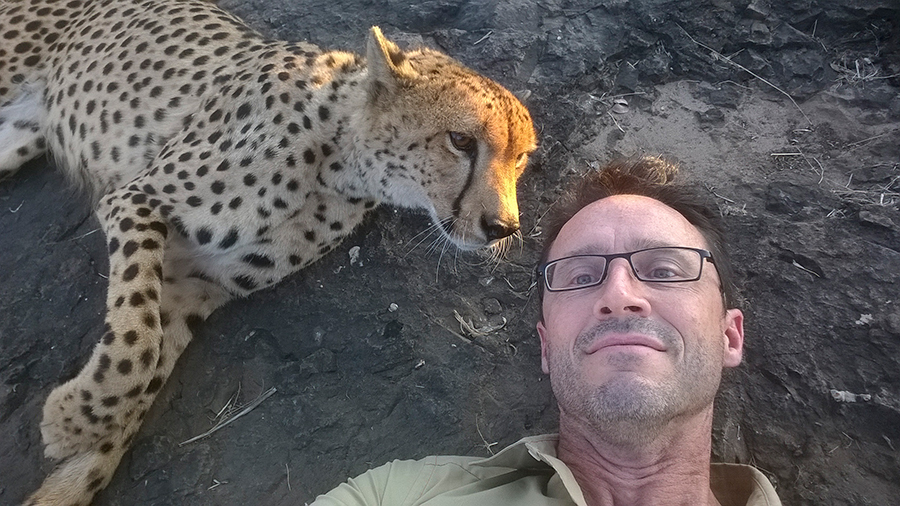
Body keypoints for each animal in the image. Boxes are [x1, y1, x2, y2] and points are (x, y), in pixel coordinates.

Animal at [0, 0, 537, 503]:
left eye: (521, 157)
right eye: (460, 140)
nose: (503, 227)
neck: (338, 160)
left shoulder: (192, 284)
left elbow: (142, 370)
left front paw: (75, 444)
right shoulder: (135, 200)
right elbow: (137, 339)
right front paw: (72, 420)